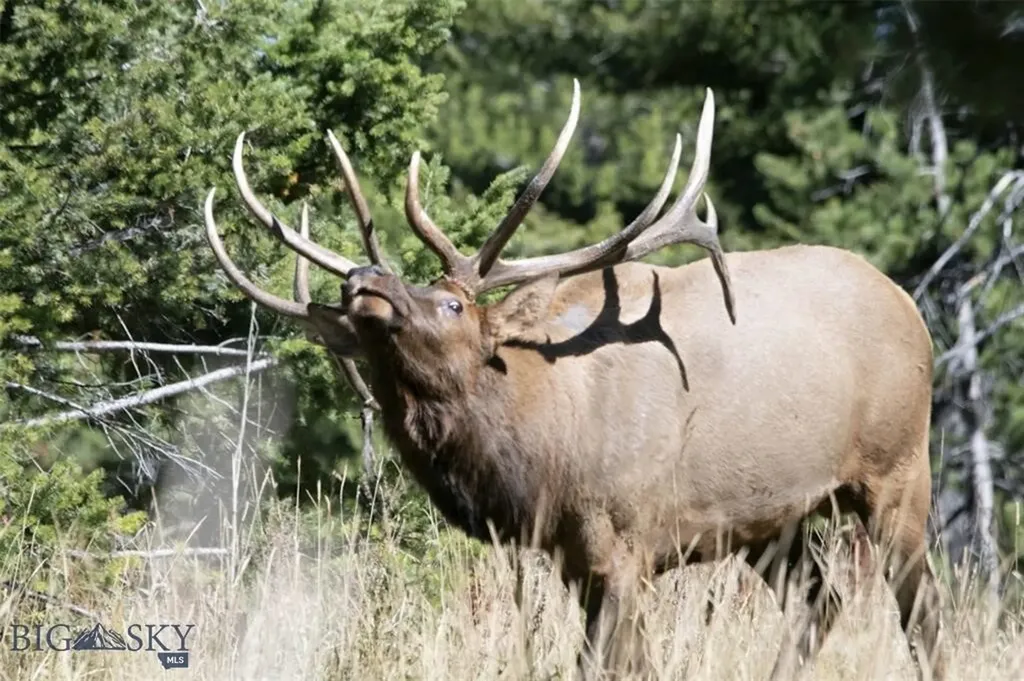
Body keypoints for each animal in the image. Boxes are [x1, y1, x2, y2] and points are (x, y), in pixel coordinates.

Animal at [202, 81, 946, 681]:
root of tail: (912, 308)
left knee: (921, 608)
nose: (363, 280)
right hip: (772, 518)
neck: (544, 446)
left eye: (452, 304)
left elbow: (613, 663)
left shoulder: (625, 542)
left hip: (899, 468)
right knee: (822, 599)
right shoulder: (574, 556)